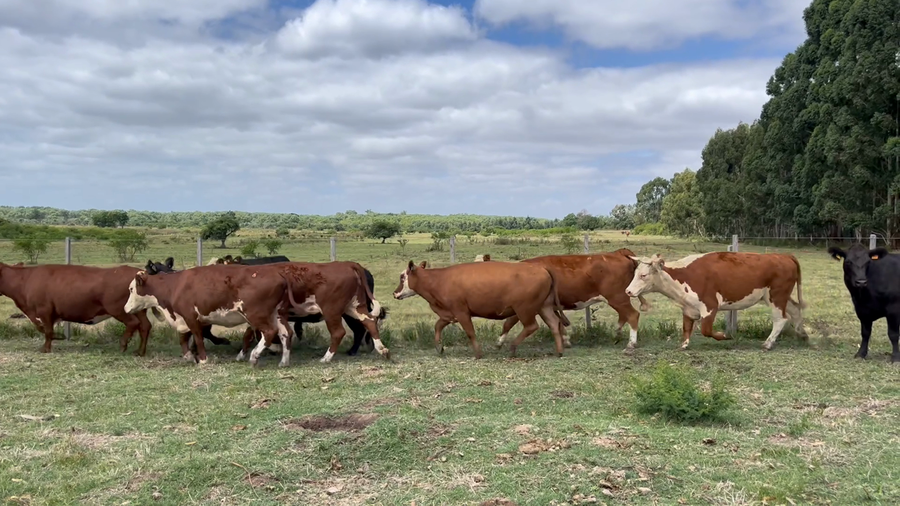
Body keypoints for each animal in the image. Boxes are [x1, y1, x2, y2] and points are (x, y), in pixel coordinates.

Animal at [0, 262, 153, 355]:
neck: (25, 280)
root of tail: (136, 271)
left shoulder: (44, 310)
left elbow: (47, 331)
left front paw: (46, 348)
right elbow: (43, 329)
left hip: (117, 308)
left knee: (133, 323)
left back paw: (123, 345)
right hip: (139, 309)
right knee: (145, 326)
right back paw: (140, 351)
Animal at [237, 261, 390, 364]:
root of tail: (346, 264)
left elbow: (252, 333)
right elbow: (249, 334)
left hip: (332, 311)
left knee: (341, 332)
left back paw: (328, 357)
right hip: (355, 307)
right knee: (369, 322)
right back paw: (381, 350)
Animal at [393, 260, 571, 358]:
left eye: (402, 277)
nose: (395, 293)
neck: (438, 280)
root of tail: (542, 268)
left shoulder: (461, 312)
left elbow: (470, 332)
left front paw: (478, 353)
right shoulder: (449, 314)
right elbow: (437, 326)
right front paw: (439, 347)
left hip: (524, 309)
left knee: (532, 326)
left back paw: (513, 347)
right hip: (544, 307)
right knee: (554, 324)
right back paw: (559, 351)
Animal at [475, 249, 651, 353]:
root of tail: (618, 252)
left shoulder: (524, 306)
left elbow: (508, 323)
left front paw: (499, 342)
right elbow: (560, 324)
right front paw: (566, 340)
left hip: (617, 297)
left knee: (632, 315)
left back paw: (631, 343)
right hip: (619, 299)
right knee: (624, 316)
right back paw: (617, 336)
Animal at [625, 252, 808, 350]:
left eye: (644, 275)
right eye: (635, 273)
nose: (628, 291)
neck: (683, 276)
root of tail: (784, 255)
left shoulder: (709, 306)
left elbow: (706, 330)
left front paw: (726, 336)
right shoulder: (688, 308)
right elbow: (686, 328)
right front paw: (684, 345)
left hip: (776, 296)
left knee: (780, 319)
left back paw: (768, 343)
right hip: (779, 297)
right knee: (795, 310)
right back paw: (802, 335)